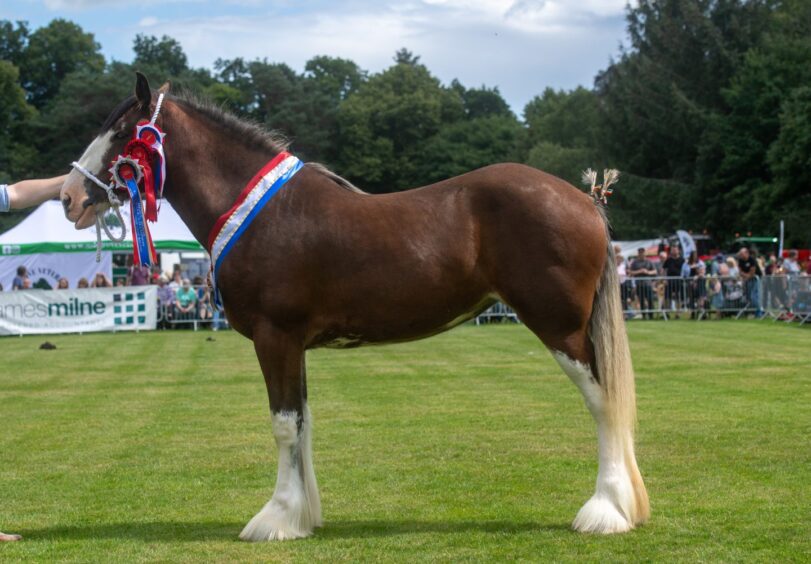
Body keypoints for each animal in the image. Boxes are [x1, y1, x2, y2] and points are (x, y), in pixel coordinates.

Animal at [60, 72, 652, 540]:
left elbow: (283, 425)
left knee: (604, 404)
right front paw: (301, 517)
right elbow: (301, 423)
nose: (69, 197)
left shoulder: (275, 338)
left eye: (122, 133)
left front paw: (274, 519)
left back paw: (605, 511)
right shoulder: (293, 345)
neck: (261, 213)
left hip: (561, 329)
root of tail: (586, 201)